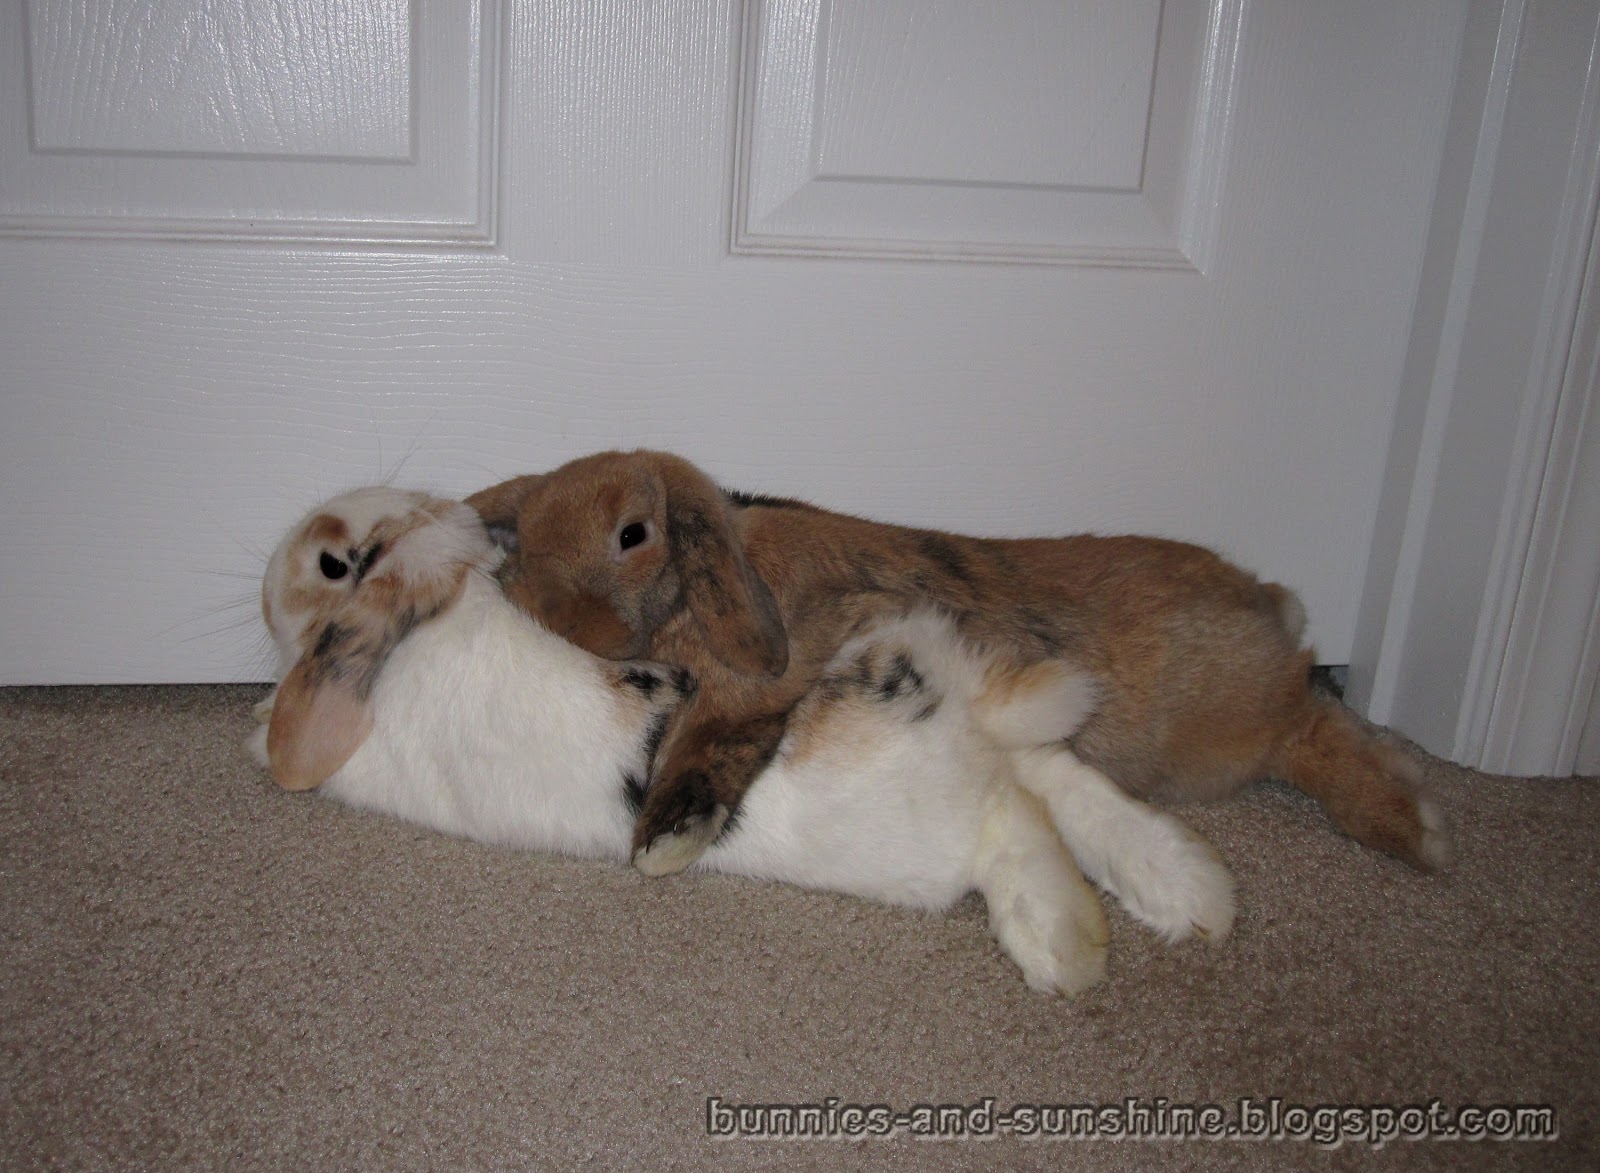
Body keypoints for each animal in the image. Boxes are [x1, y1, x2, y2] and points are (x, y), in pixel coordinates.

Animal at [247, 485, 1238, 995]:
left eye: (333, 559)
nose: (272, 560)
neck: (435, 620)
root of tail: (960, 713)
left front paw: (259, 736)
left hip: (930, 819)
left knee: (1018, 814)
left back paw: (1078, 947)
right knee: (1060, 790)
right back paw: (1179, 900)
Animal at [466, 450, 1448, 879]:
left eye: (633, 534)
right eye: (527, 539)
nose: (558, 617)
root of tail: (1268, 602)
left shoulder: (761, 683)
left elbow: (713, 744)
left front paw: (664, 843)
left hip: (1237, 719)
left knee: (1313, 719)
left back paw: (1416, 827)